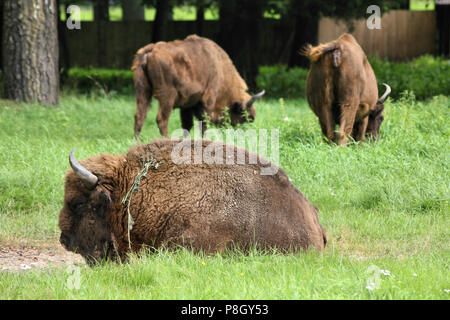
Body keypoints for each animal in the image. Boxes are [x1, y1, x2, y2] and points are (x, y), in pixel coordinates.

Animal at [131, 34, 264, 139]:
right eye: (246, 117)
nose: (244, 135)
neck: (220, 68)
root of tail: (150, 51)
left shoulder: (187, 105)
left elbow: (187, 125)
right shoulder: (208, 100)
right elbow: (204, 123)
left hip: (143, 92)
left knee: (139, 116)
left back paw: (137, 142)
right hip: (167, 97)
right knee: (161, 119)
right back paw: (166, 139)